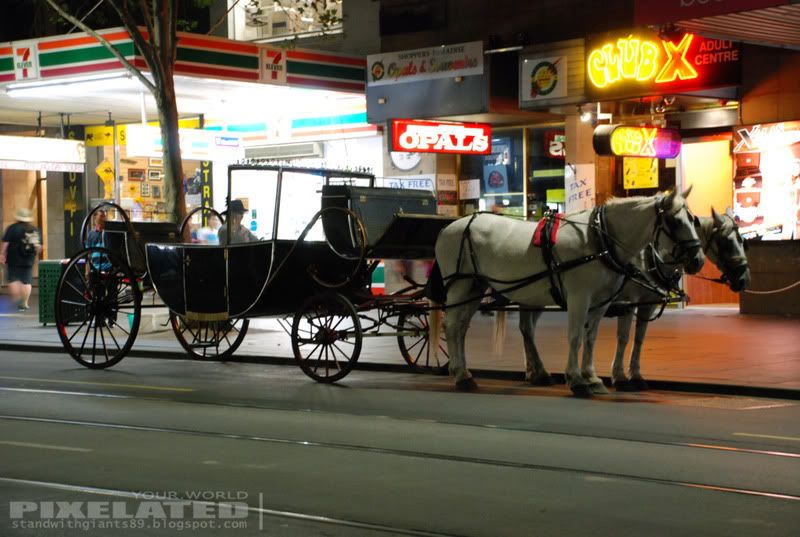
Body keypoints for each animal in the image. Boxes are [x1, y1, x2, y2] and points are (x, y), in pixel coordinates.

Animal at [434, 187, 704, 394]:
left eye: (694, 220)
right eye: (675, 221)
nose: (698, 260)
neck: (599, 238)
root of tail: (450, 227)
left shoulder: (602, 302)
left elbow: (592, 337)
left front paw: (592, 377)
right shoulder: (582, 297)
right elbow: (578, 336)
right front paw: (577, 379)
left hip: (477, 287)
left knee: (465, 328)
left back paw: (470, 372)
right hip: (460, 286)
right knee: (452, 324)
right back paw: (461, 376)